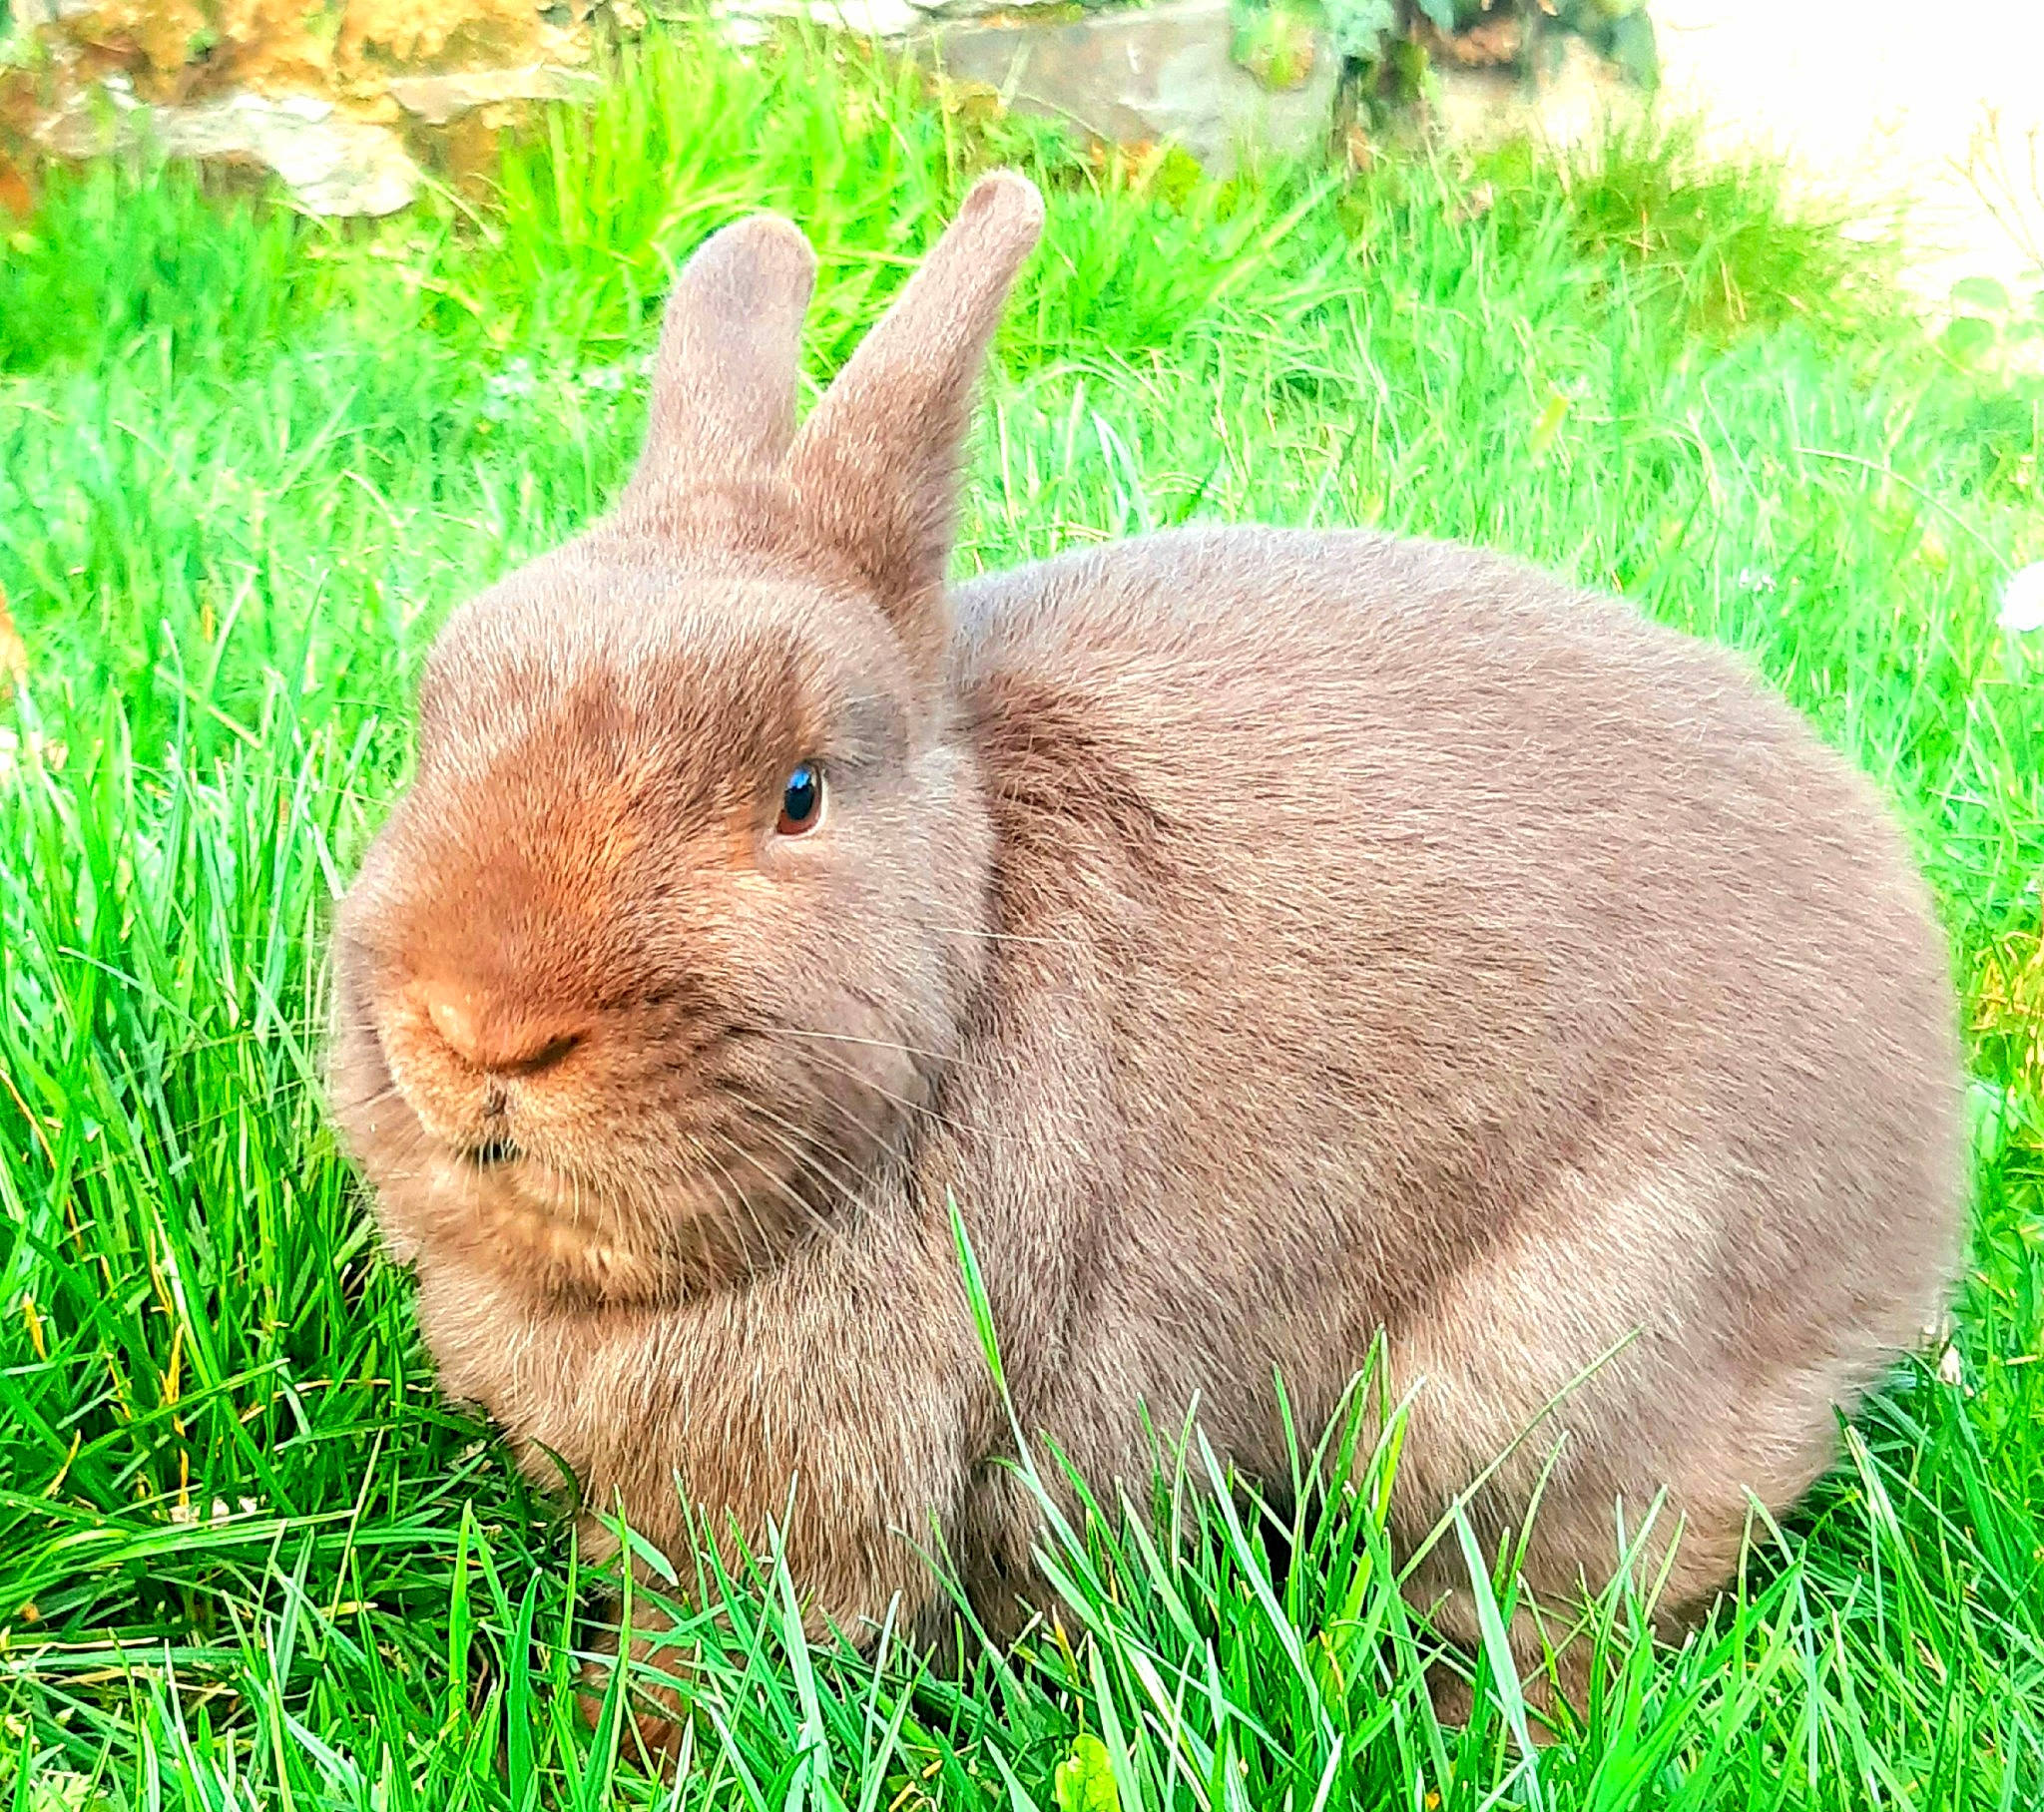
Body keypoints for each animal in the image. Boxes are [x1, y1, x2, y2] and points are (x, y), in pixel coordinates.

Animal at [328, 169, 1966, 1740]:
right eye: (438, 714)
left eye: (796, 793)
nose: (476, 1030)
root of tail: (1918, 1170)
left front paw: (624, 1739)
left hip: (1549, 1367)